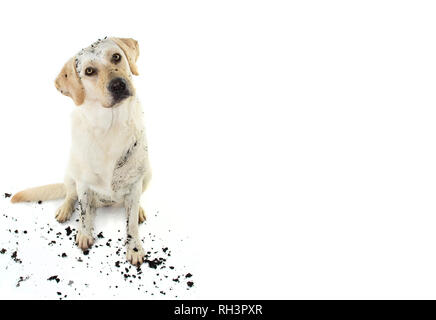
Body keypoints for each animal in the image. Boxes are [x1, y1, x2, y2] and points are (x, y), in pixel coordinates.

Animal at [10, 37, 152, 266]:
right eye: (89, 71)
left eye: (116, 57)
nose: (118, 84)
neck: (110, 128)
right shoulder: (84, 183)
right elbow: (84, 212)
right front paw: (84, 234)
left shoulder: (135, 182)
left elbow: (130, 223)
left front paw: (135, 248)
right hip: (70, 172)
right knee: (71, 194)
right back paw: (65, 209)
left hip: (147, 175)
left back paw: (137, 209)